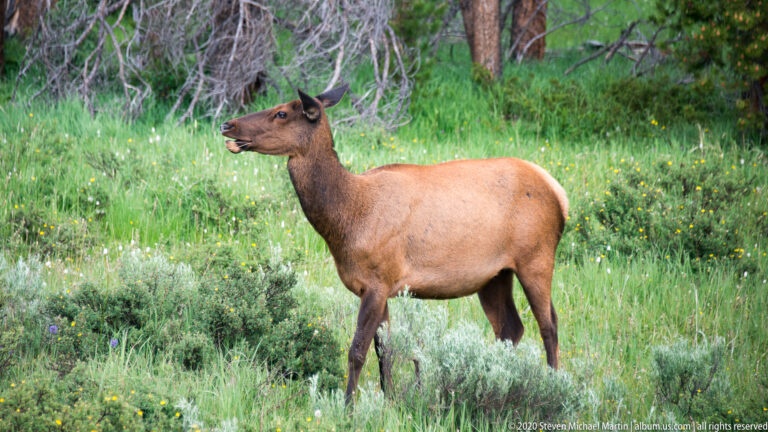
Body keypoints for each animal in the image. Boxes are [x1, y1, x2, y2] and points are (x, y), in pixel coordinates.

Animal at [220, 84, 569, 403]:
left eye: (281, 113)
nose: (227, 124)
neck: (346, 219)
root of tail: (559, 193)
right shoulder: (377, 286)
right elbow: (384, 349)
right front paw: (389, 401)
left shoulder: (378, 281)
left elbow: (357, 350)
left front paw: (348, 405)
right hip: (494, 276)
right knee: (510, 328)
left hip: (535, 258)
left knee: (549, 325)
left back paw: (552, 388)